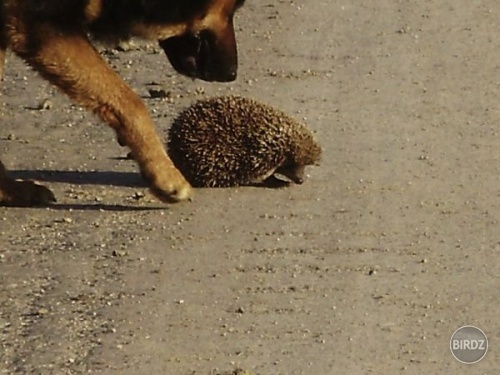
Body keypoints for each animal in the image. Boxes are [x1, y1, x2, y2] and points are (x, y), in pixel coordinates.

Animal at [0, 0, 245, 206]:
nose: (231, 73)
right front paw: (166, 176)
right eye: (233, 8)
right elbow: (131, 102)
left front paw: (9, 191)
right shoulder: (36, 21)